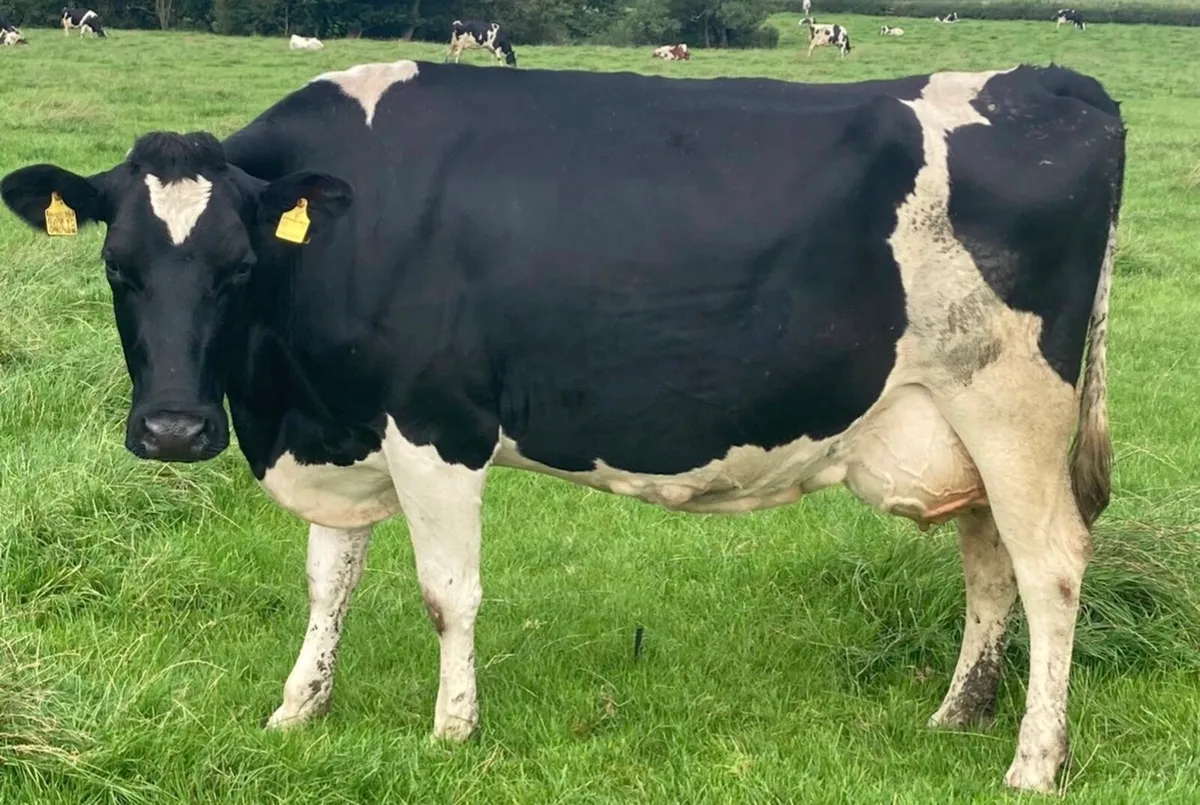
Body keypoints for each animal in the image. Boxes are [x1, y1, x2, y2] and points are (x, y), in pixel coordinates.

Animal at [0, 59, 1125, 794]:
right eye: (118, 267)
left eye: (238, 267)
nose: (175, 429)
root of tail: (1054, 81)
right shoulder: (339, 429)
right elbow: (329, 582)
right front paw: (297, 710)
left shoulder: (436, 424)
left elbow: (446, 593)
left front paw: (451, 731)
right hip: (958, 421)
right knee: (991, 562)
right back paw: (960, 715)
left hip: (1016, 404)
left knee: (1053, 566)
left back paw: (1035, 761)